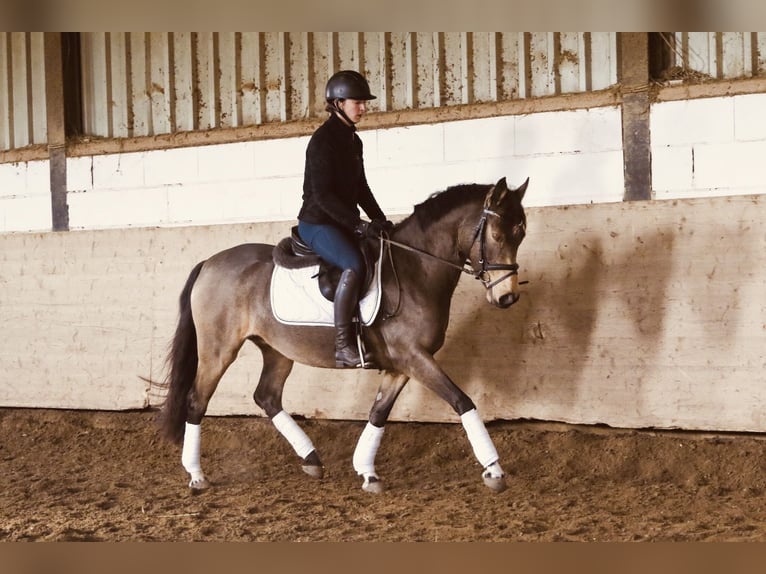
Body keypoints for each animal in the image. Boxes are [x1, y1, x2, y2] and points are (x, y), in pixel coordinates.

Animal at [156, 176, 528, 496]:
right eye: (497, 236)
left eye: (520, 234)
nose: (507, 298)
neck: (415, 270)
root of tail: (209, 263)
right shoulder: (414, 357)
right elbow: (462, 401)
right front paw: (494, 470)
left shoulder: (401, 364)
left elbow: (378, 414)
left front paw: (367, 472)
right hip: (218, 350)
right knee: (197, 401)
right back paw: (197, 476)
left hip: (277, 350)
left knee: (267, 397)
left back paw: (311, 459)